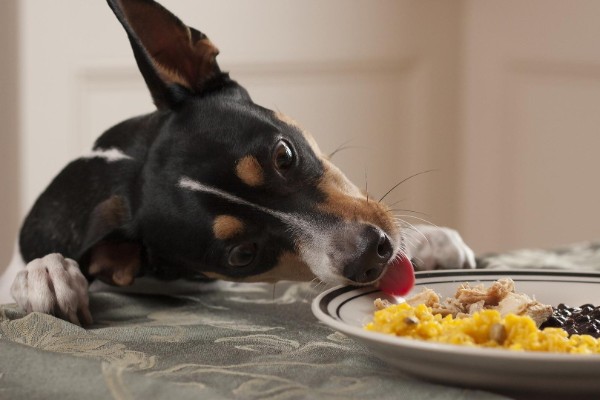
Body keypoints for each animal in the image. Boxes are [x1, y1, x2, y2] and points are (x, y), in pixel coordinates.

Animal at [4, 0, 476, 324]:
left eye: (284, 154)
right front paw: (45, 273)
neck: (120, 167)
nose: (370, 255)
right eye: (242, 255)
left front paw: (427, 241)